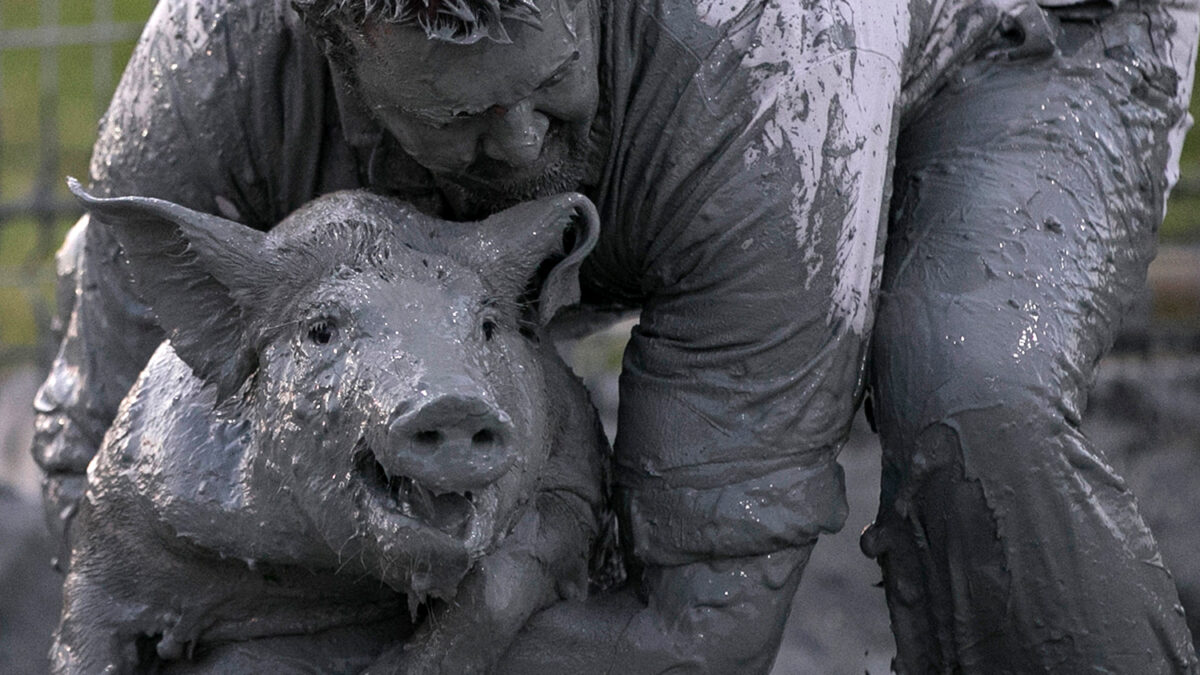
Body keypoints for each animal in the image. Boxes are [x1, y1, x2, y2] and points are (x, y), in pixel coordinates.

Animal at [50, 180, 609, 672]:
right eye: (321, 330)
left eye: (488, 326)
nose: (452, 403)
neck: (332, 575)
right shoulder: (117, 502)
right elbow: (86, 626)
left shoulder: (578, 482)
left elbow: (499, 583)